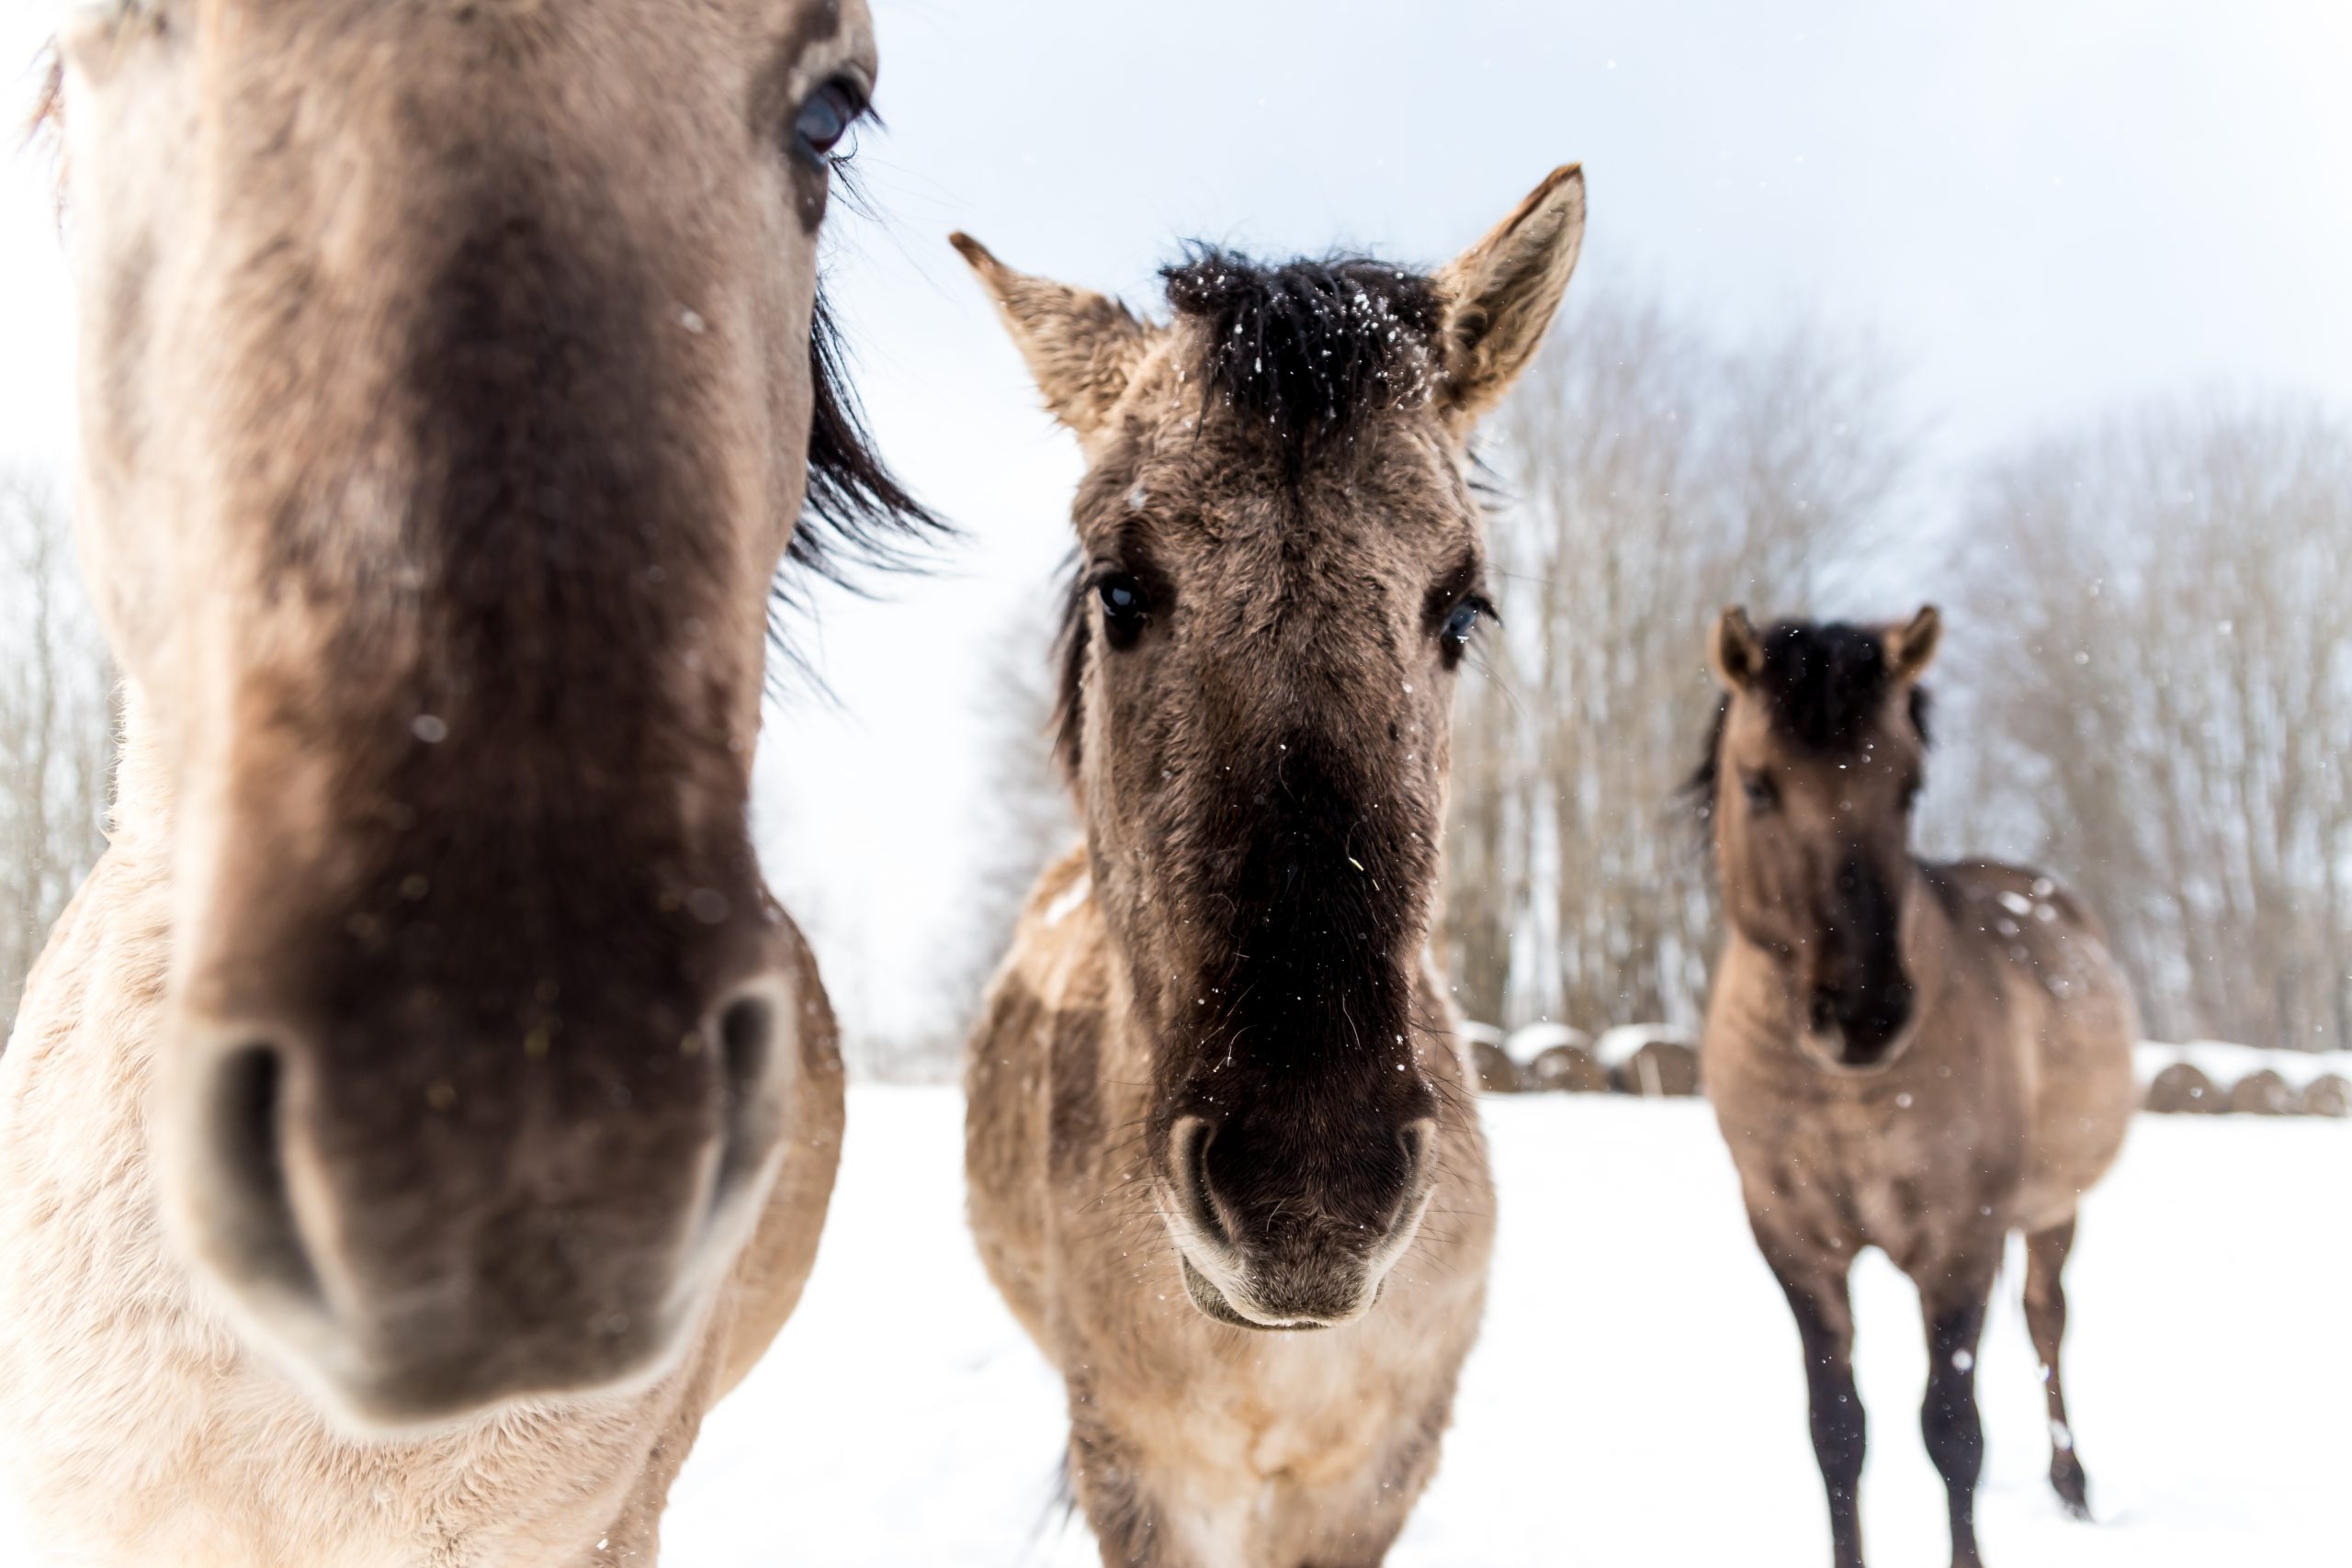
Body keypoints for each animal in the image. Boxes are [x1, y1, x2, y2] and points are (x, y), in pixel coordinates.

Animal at [1693, 606, 2135, 1568]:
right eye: (1758, 785)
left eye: (1909, 785)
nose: (1865, 1012)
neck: (1839, 1095)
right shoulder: (1794, 1245)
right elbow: (1838, 1432)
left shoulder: (1959, 1239)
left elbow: (1952, 1431)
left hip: (2051, 1208)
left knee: (2046, 1319)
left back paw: (2072, 1485)